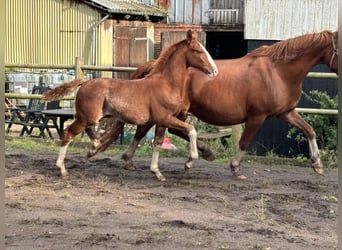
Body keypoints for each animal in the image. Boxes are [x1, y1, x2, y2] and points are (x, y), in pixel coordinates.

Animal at [42, 29, 216, 178]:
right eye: (199, 51)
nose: (214, 71)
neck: (166, 84)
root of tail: (84, 82)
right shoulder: (165, 118)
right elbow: (191, 130)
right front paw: (189, 162)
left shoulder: (161, 122)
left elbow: (157, 144)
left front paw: (157, 172)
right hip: (86, 118)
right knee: (68, 133)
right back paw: (63, 169)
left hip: (92, 117)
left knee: (88, 130)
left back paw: (95, 146)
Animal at [90, 30, 336, 181]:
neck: (277, 71)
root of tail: (153, 64)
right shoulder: (257, 116)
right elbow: (244, 142)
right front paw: (235, 169)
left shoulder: (286, 112)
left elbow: (309, 130)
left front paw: (317, 164)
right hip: (177, 111)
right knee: (162, 130)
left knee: (148, 130)